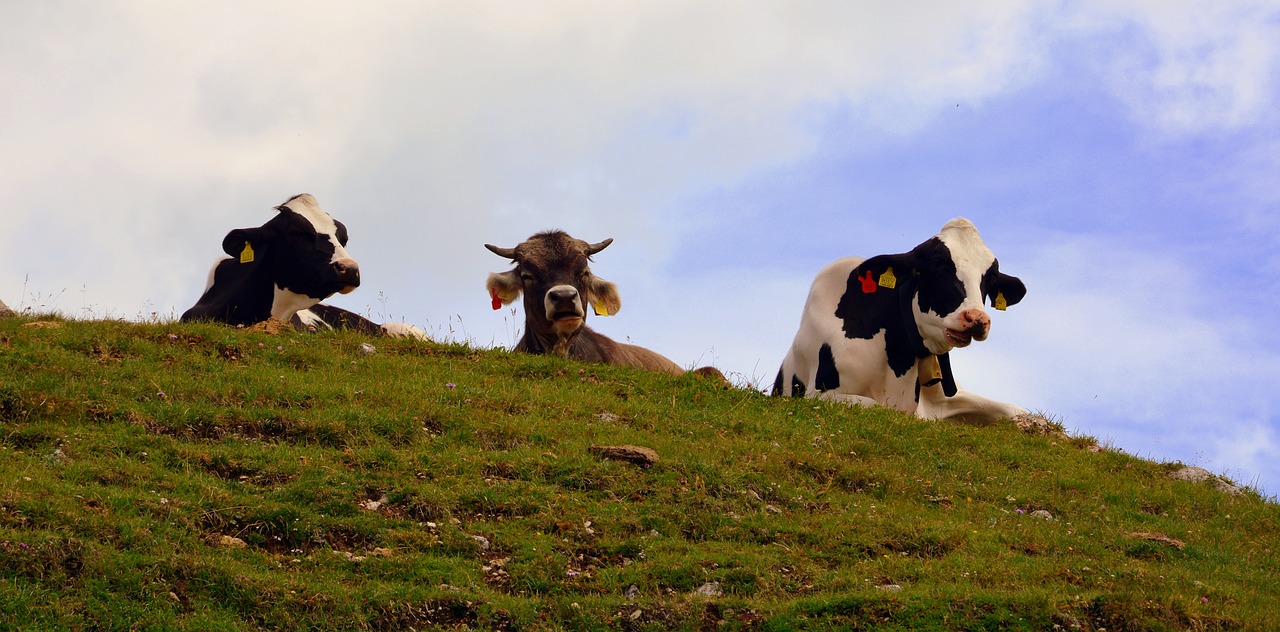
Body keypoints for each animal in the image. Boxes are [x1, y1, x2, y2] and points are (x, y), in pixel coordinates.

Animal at [768, 218, 1029, 424]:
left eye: (991, 277)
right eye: (937, 263)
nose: (976, 319)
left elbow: (1016, 410)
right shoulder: (818, 393)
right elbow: (875, 406)